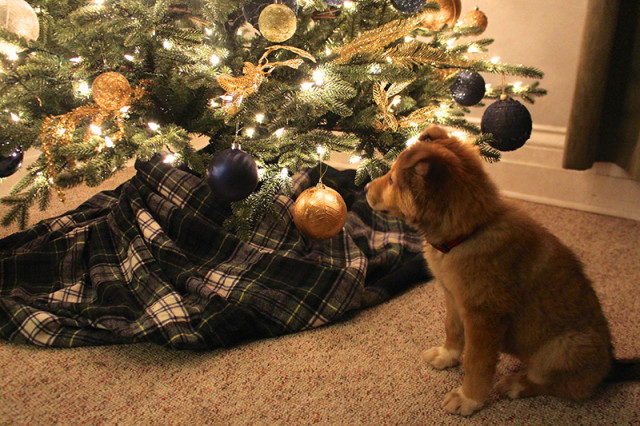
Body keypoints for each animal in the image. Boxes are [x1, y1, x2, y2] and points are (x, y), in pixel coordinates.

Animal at [364, 124, 632, 416]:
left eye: (392, 179)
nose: (364, 187)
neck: (468, 233)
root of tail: (610, 366)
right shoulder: (453, 298)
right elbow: (452, 329)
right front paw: (446, 356)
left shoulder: (484, 316)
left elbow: (477, 361)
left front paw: (469, 398)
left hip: (564, 348)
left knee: (560, 385)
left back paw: (516, 384)